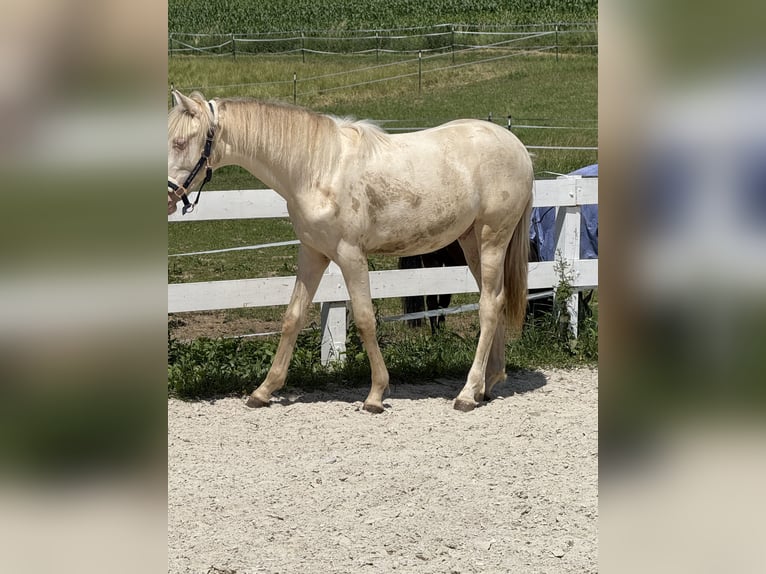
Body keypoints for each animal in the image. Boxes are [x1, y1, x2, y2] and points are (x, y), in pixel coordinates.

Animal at [168, 90, 533, 412]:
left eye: (180, 142)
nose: (169, 197)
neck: (317, 168)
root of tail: (517, 147)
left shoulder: (350, 255)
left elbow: (364, 318)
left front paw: (375, 394)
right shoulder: (313, 253)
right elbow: (293, 317)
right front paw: (264, 390)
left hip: (492, 238)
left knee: (488, 306)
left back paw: (467, 394)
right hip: (471, 242)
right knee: (495, 299)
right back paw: (487, 384)